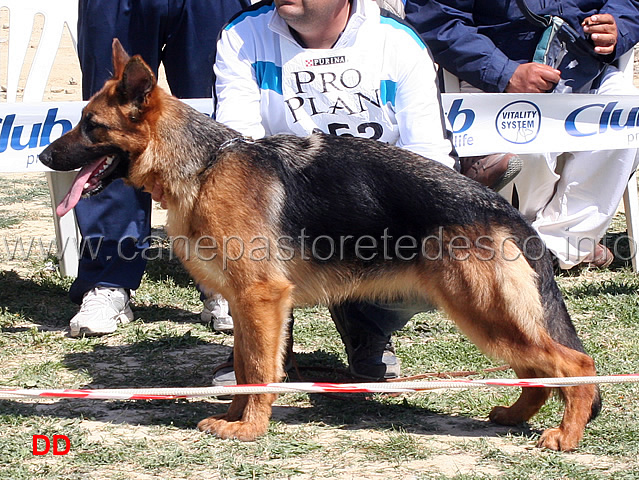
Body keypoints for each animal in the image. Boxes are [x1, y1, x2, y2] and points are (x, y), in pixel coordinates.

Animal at [38, 39, 600, 452]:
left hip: (483, 311)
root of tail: (503, 208)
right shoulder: (247, 305)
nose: (42, 155)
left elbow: (260, 369)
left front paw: (249, 429)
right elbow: (246, 365)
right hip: (490, 315)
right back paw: (514, 415)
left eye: (92, 127)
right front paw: (235, 415)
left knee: (576, 366)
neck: (203, 165)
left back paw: (566, 436)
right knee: (538, 370)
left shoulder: (261, 298)